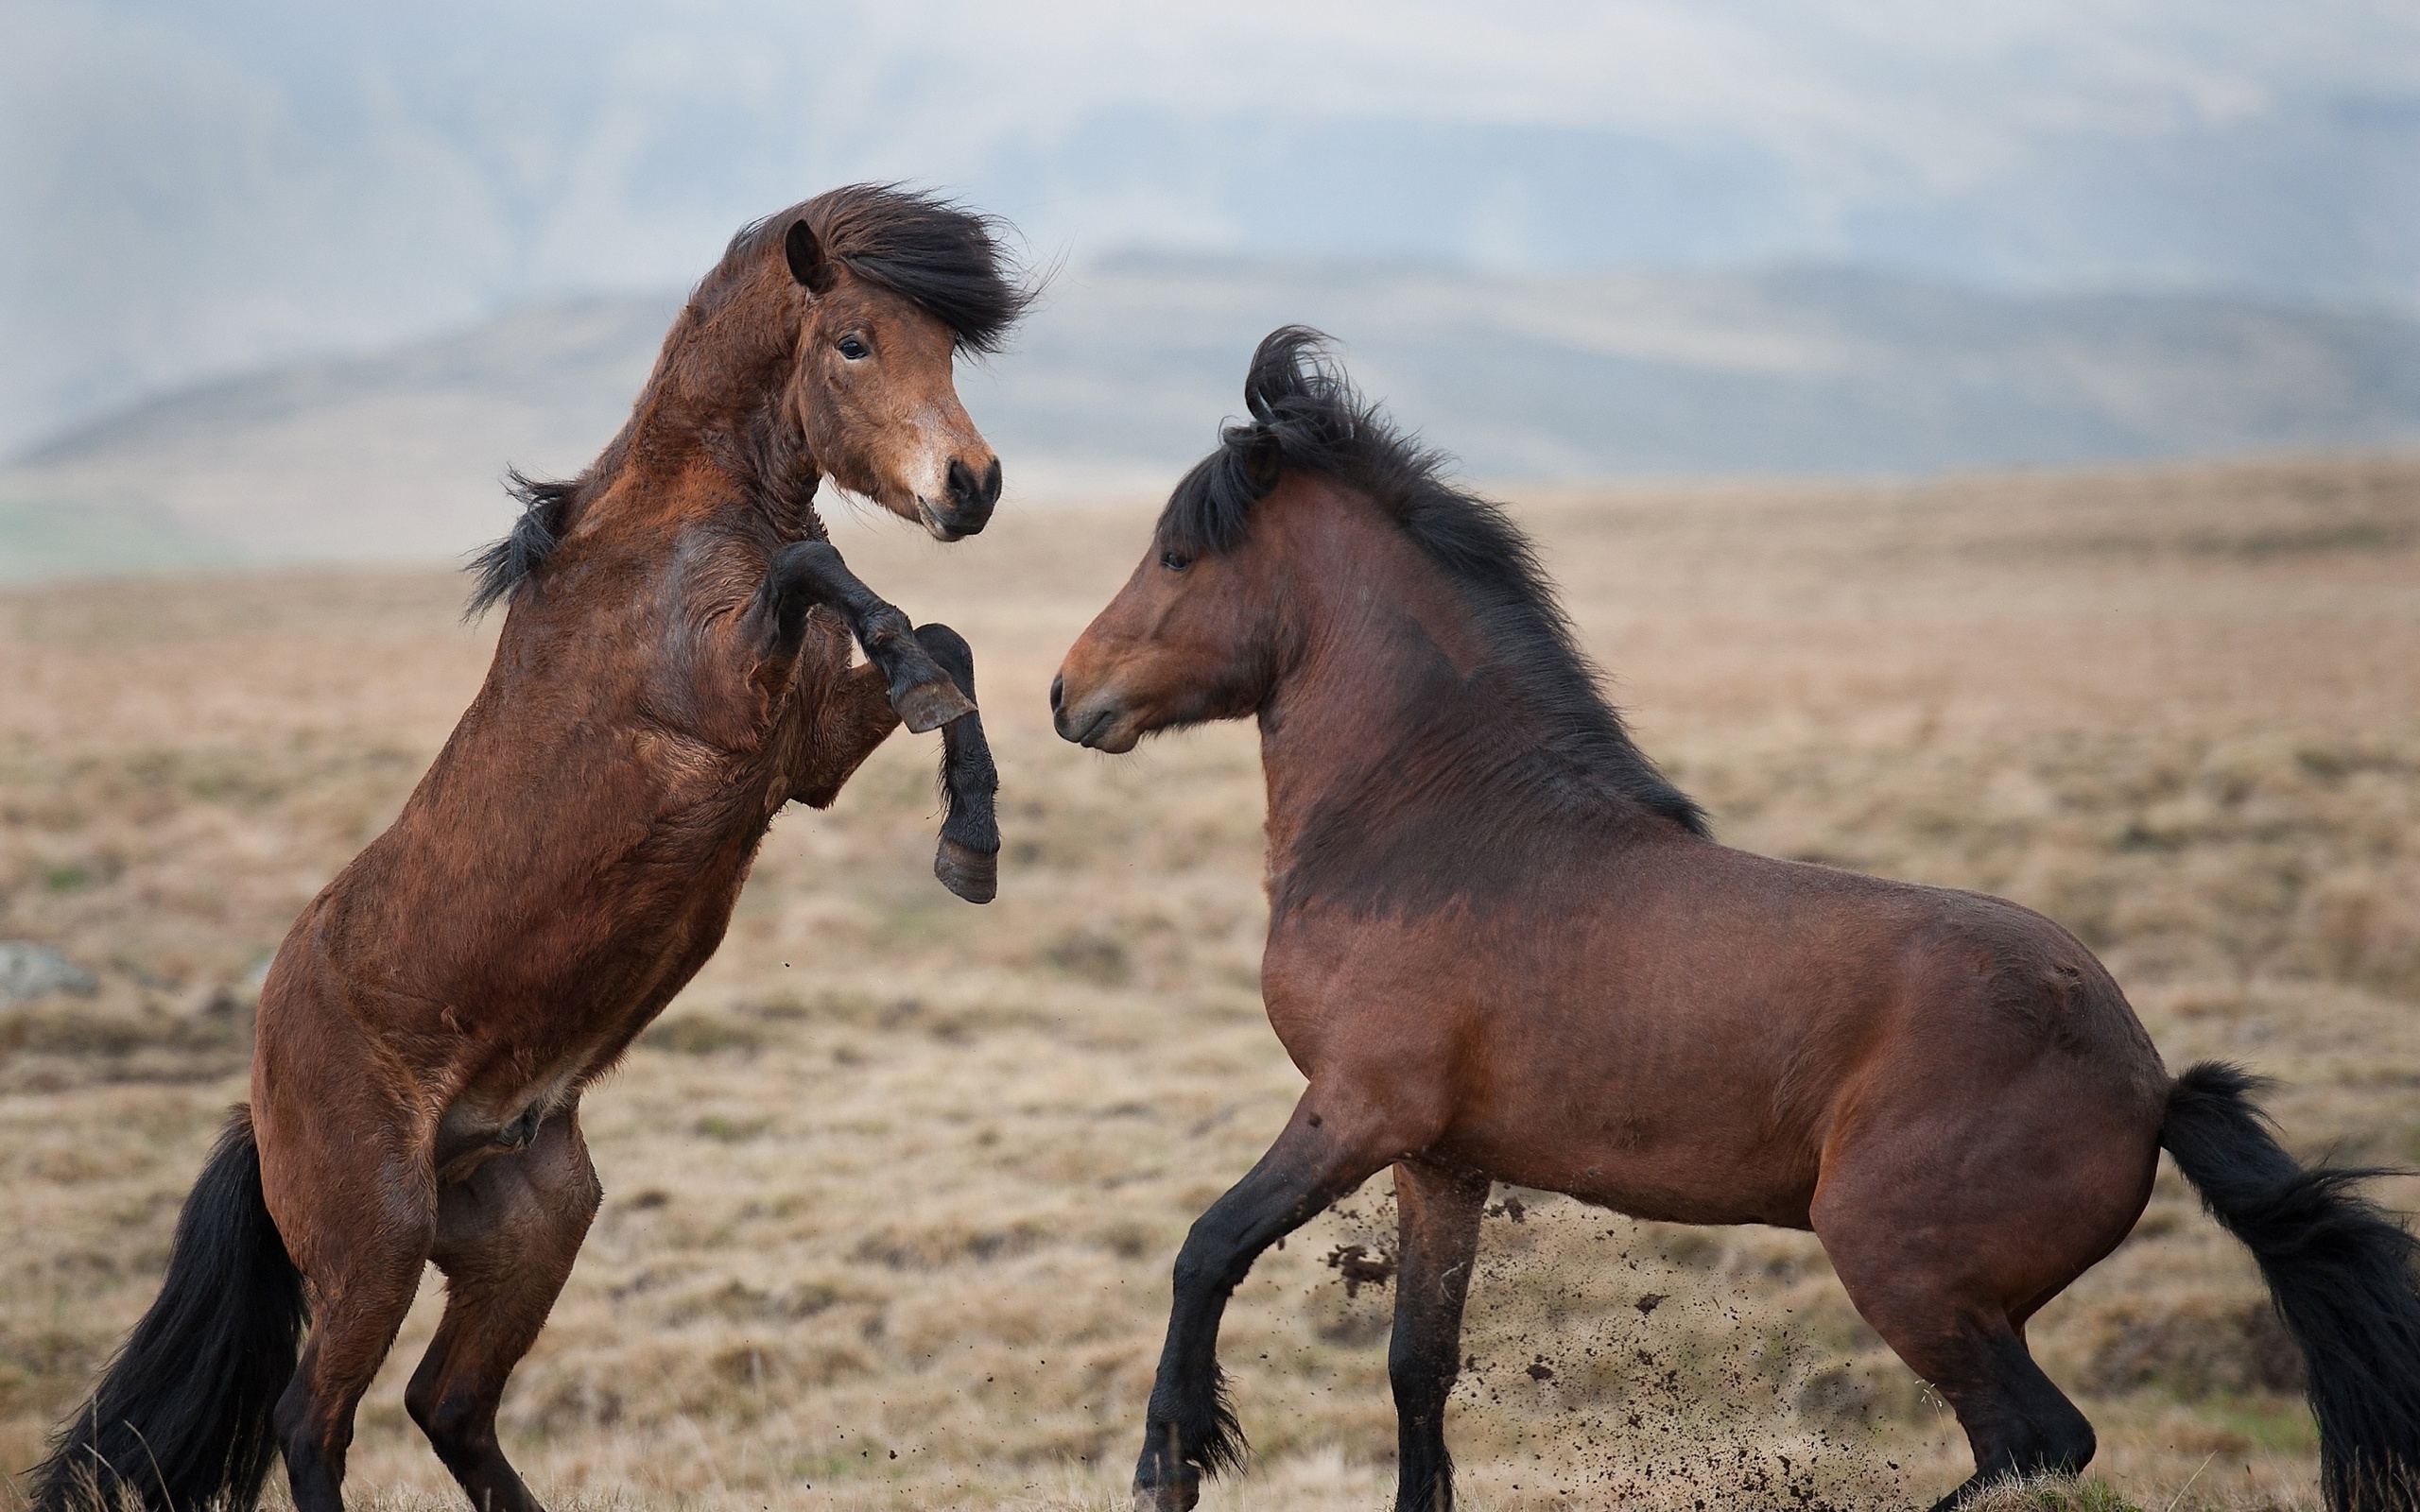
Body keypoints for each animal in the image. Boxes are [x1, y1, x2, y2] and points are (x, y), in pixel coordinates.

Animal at [30, 182, 1030, 1509]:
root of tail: (261, 1093)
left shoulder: (802, 753)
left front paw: (970, 841)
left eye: (947, 349)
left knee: (448, 1402)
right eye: (855, 342)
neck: (673, 529)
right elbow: (827, 572)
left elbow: (942, 644)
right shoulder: (728, 705)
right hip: (377, 1238)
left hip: (531, 1223)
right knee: (314, 1418)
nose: (971, 485)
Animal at [1055, 329, 2420, 1509]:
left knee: (2035, 1443)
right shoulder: (1442, 1158)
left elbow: (1206, 1247)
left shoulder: (1355, 1108)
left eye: (1177, 554)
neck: (1436, 817)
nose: (1071, 694)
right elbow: (1418, 1368)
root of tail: (2148, 1081)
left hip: (1905, 1272)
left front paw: (1170, 1459)